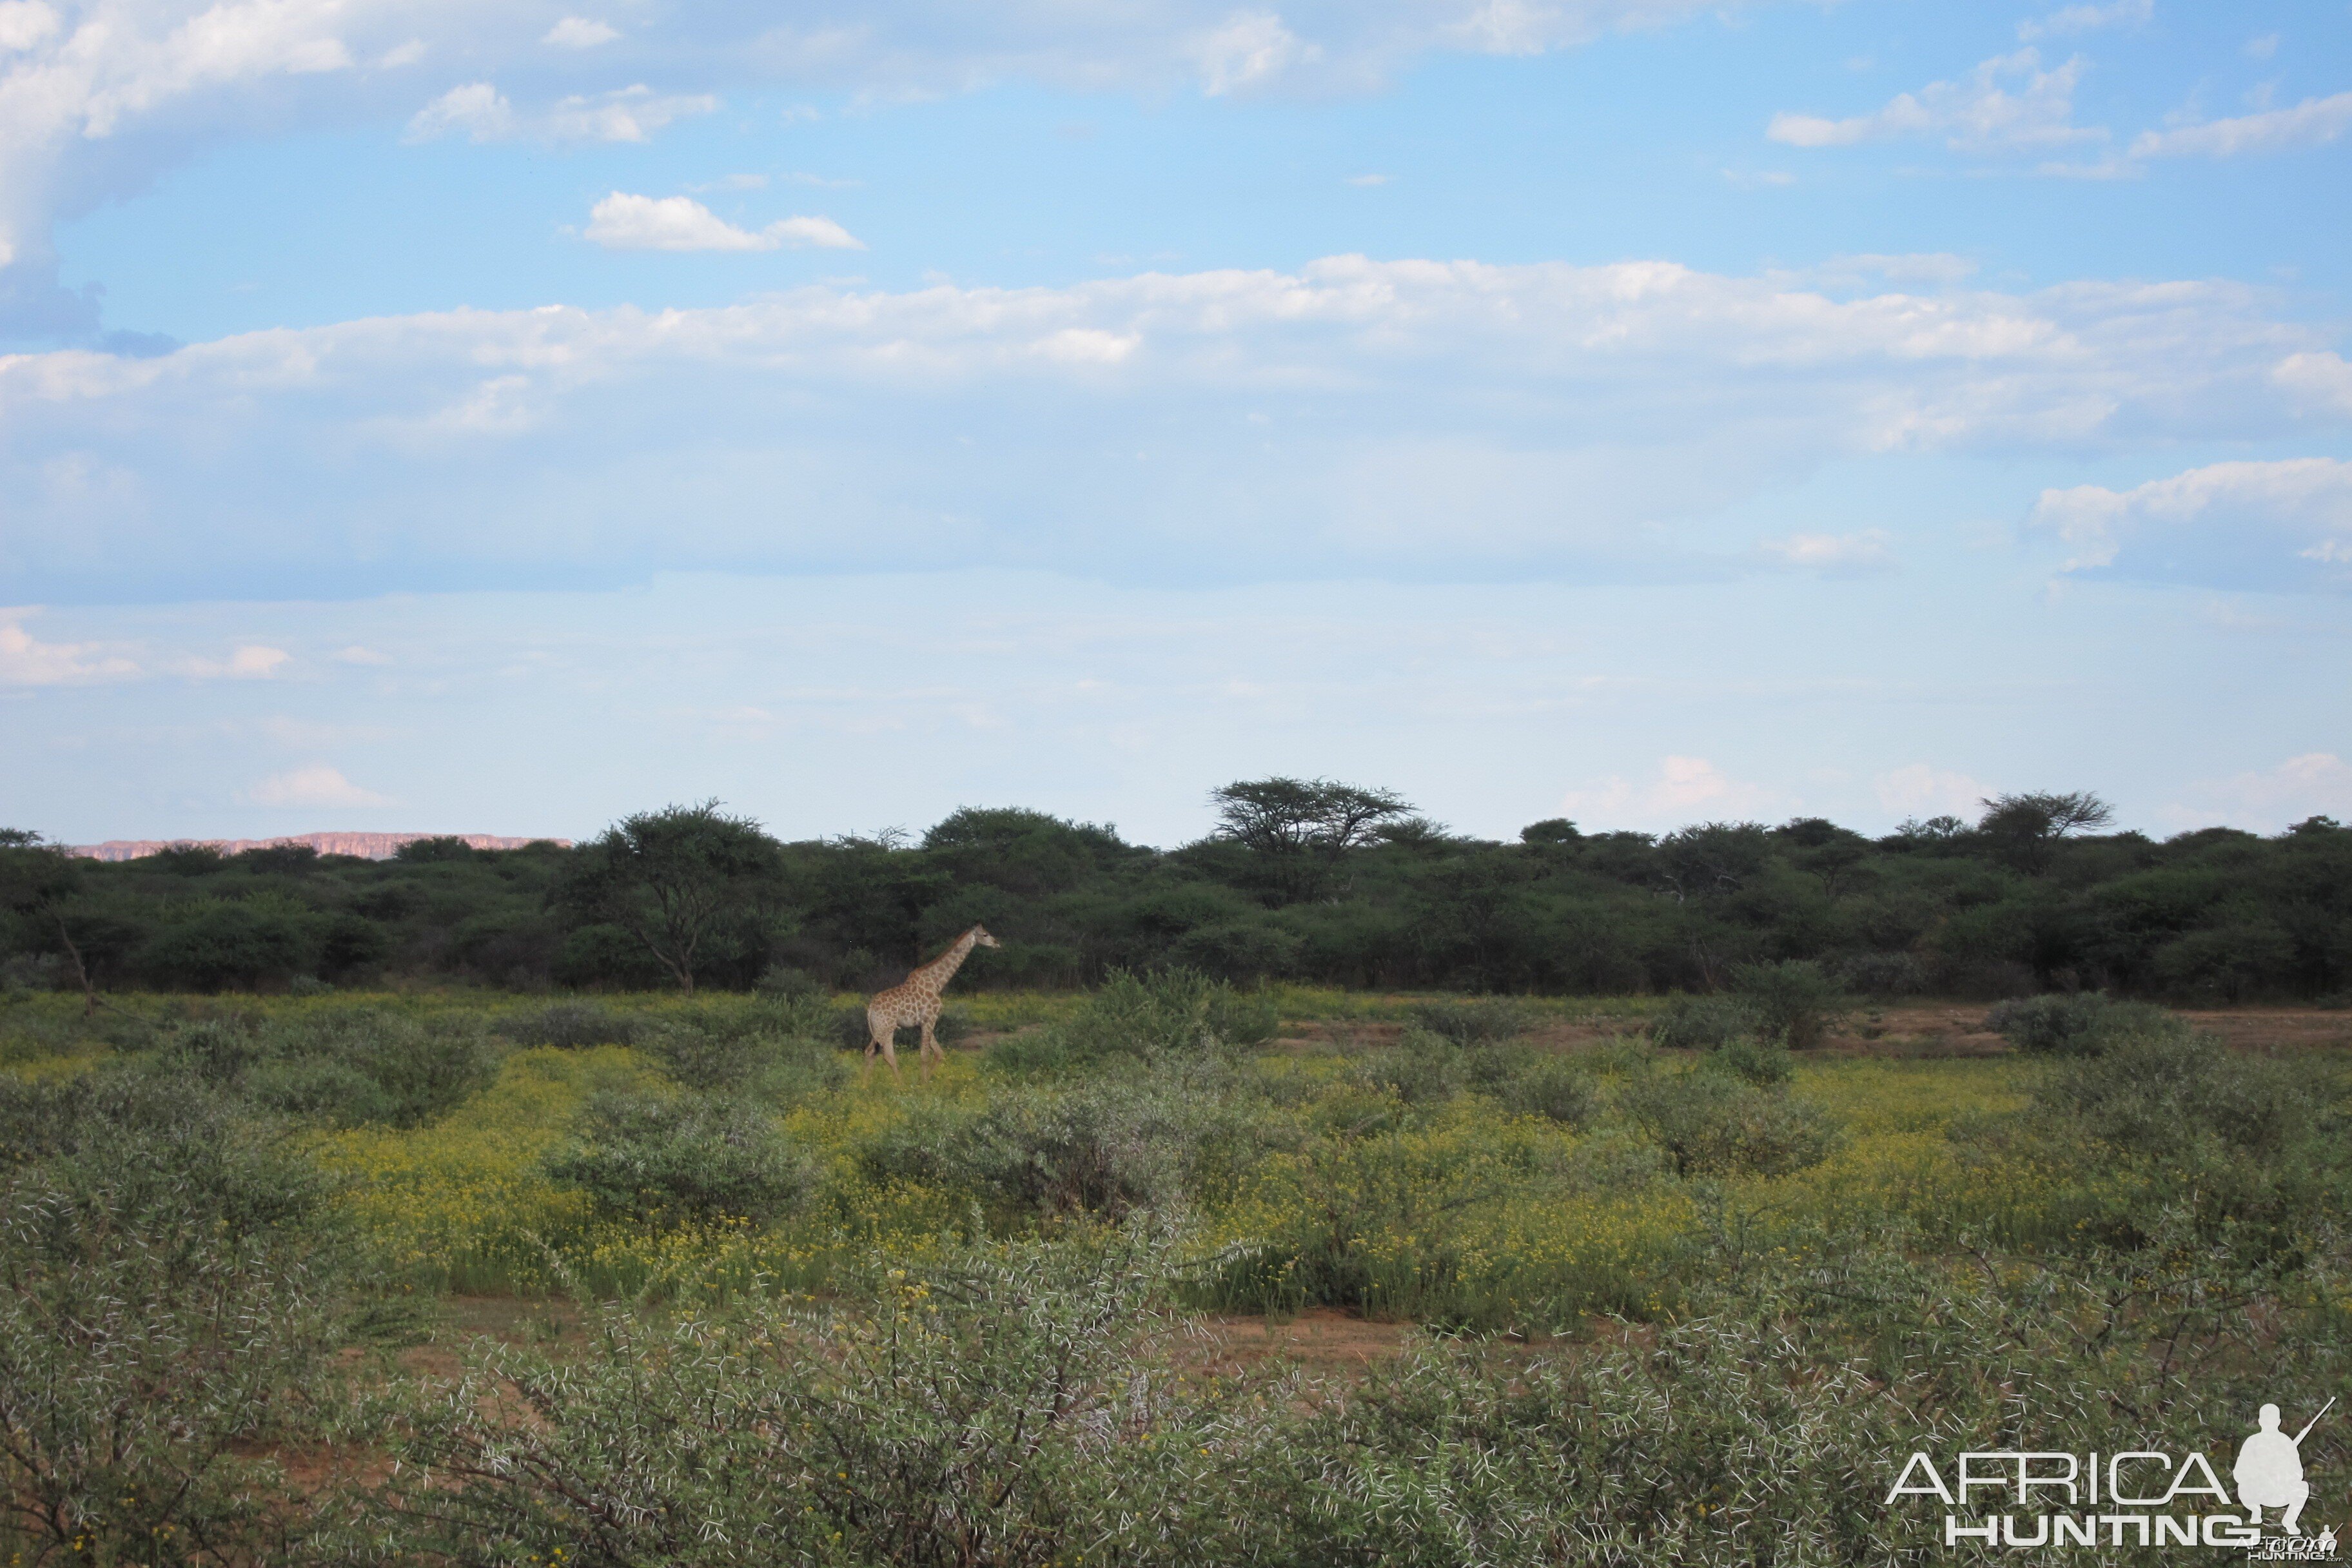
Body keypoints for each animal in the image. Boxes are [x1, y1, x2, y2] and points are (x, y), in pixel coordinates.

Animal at [875, 926, 1002, 1086]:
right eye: (985, 934)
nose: (997, 943)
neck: (937, 982)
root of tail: (870, 1009)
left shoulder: (921, 1023)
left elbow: (938, 1053)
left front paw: (925, 1081)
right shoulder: (930, 1018)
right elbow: (925, 1054)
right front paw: (924, 1084)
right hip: (886, 1029)